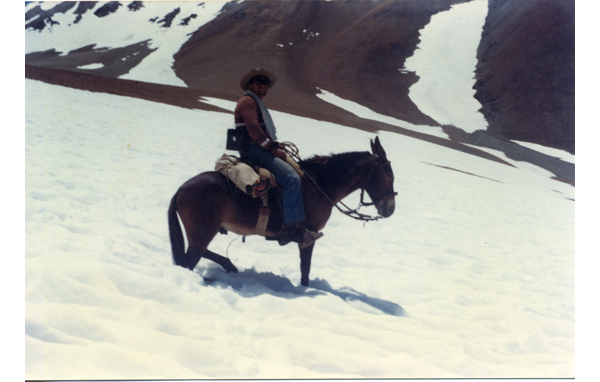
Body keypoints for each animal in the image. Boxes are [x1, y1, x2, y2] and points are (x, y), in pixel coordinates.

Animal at [166, 137, 396, 286]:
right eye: (388, 174)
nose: (390, 208)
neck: (321, 185)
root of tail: (180, 190)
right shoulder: (309, 234)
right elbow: (305, 267)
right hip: (202, 232)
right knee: (190, 259)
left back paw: (229, 265)